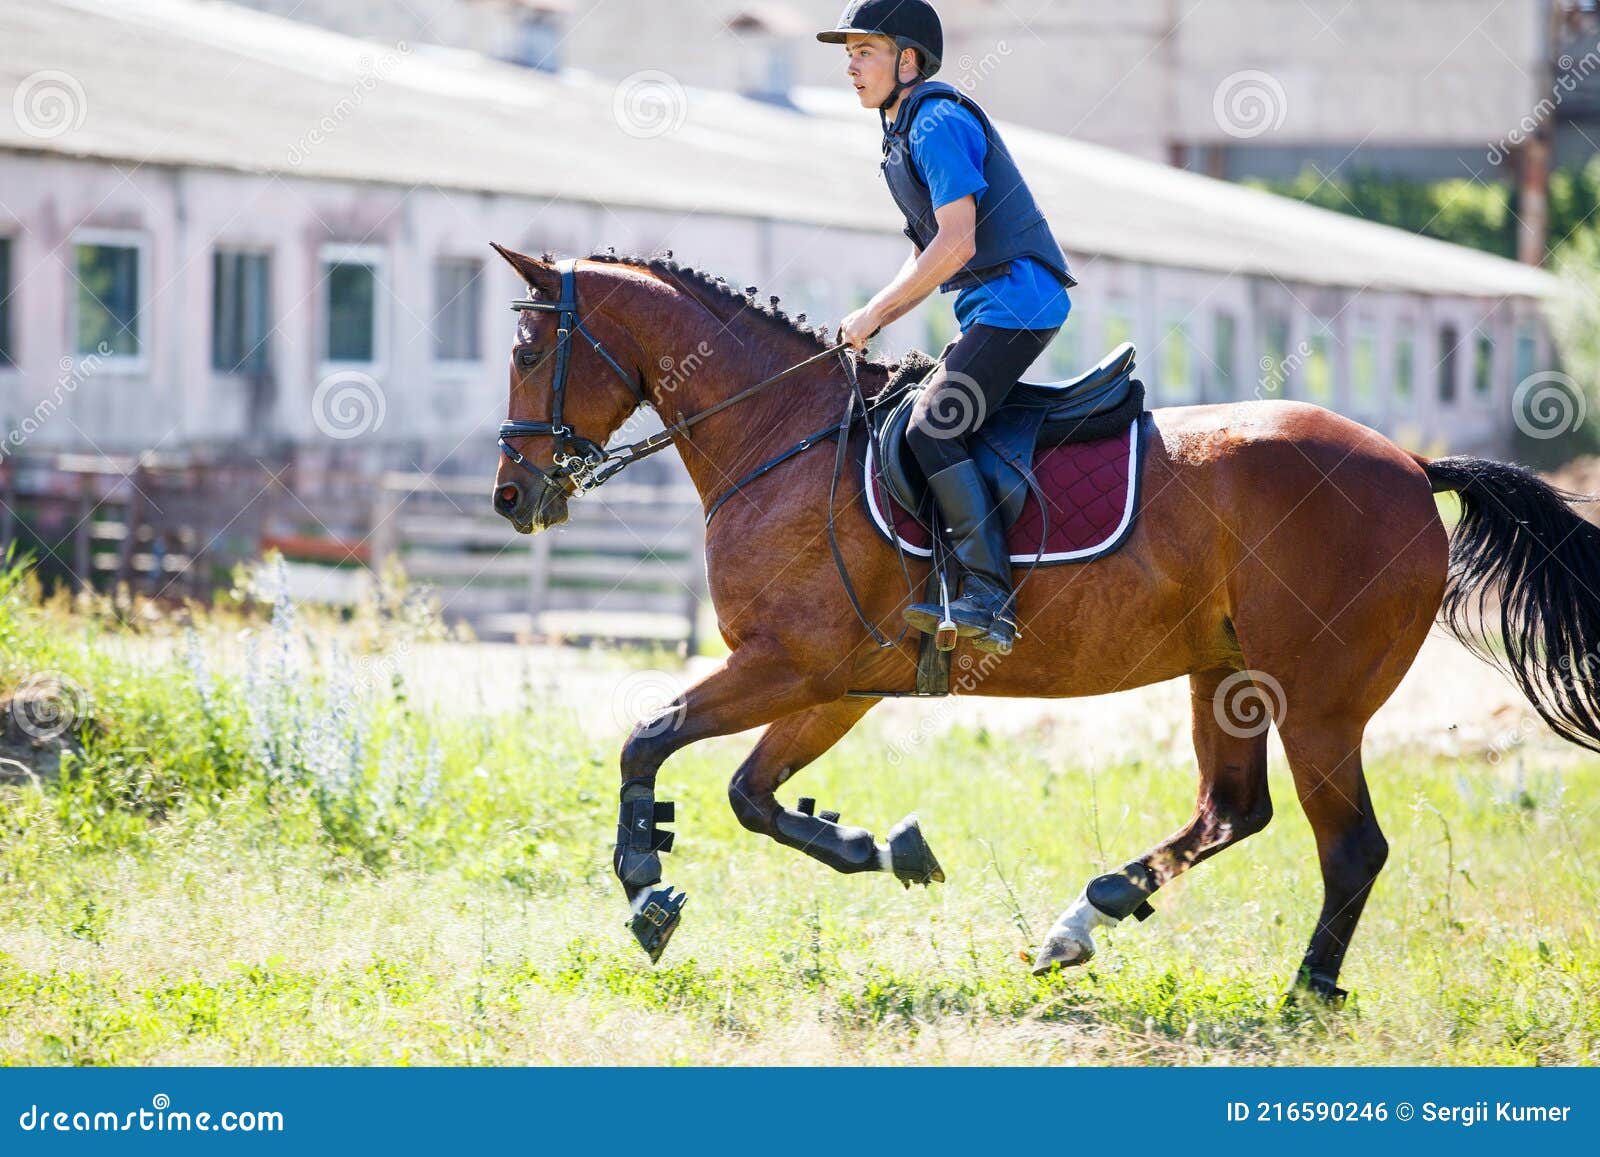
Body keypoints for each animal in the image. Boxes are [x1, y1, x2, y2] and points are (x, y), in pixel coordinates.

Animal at [483, 246, 1600, 1004]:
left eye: (529, 348)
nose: (510, 496)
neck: (779, 434)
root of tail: (1412, 466)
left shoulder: (788, 664)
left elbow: (649, 738)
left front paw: (643, 887)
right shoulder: (838, 684)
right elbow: (751, 794)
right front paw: (887, 848)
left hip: (1317, 701)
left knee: (1350, 846)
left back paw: (1304, 993)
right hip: (1227, 677)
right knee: (1232, 810)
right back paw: (1082, 921)